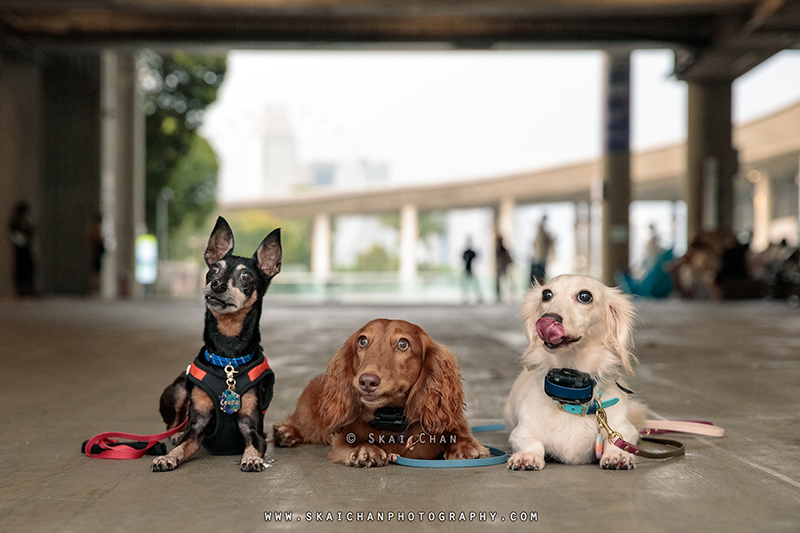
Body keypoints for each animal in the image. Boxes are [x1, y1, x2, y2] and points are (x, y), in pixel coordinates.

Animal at [152, 214, 282, 472]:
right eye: (213, 269)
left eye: (246, 276)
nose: (217, 284)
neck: (228, 356)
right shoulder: (197, 426)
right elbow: (184, 443)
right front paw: (168, 456)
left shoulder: (252, 427)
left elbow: (254, 445)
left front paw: (251, 458)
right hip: (178, 389)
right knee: (173, 423)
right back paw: (173, 434)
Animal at [274, 320, 488, 466]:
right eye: (362, 341)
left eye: (403, 344)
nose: (367, 381)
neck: (391, 422)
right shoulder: (341, 440)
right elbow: (353, 442)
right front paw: (365, 449)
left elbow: (457, 432)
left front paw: (467, 445)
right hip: (308, 418)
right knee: (297, 422)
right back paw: (285, 433)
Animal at [506, 274, 644, 470]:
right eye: (546, 294)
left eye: (585, 296)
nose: (548, 319)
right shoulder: (520, 433)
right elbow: (533, 443)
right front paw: (527, 456)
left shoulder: (626, 430)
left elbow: (616, 441)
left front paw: (617, 454)